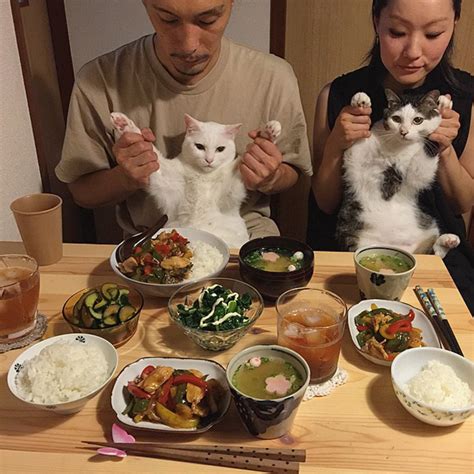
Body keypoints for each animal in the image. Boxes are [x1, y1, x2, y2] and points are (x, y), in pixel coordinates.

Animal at [111, 111, 282, 248]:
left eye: (220, 149)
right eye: (199, 146)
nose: (209, 160)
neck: (203, 177)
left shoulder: (231, 190)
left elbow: (242, 162)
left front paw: (268, 133)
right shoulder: (166, 183)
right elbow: (153, 154)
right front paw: (122, 123)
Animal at [336, 89, 462, 260]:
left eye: (417, 120)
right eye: (396, 118)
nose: (404, 132)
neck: (397, 147)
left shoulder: (418, 173)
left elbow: (427, 155)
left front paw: (443, 104)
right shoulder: (357, 159)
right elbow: (357, 142)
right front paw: (360, 101)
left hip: (428, 228)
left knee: (435, 255)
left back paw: (448, 240)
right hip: (355, 240)